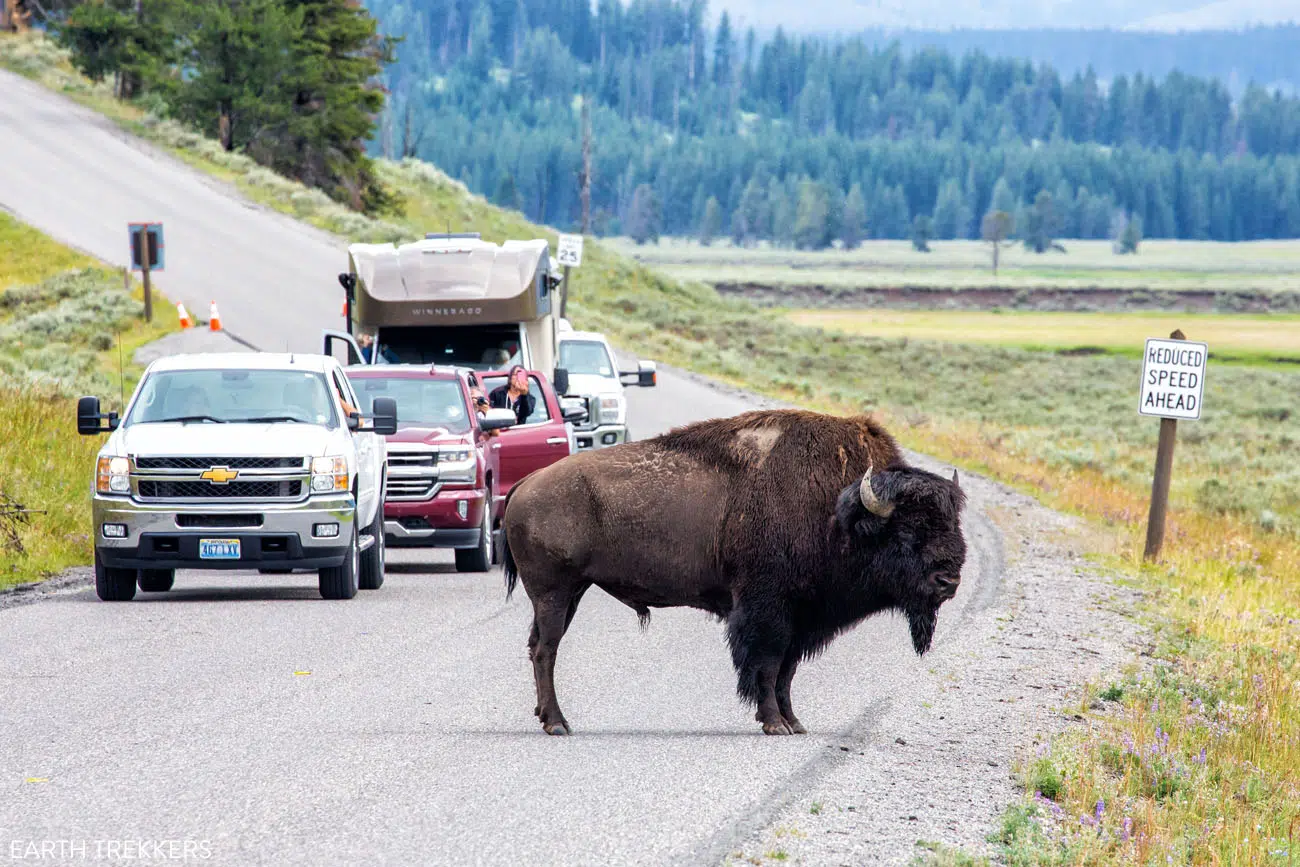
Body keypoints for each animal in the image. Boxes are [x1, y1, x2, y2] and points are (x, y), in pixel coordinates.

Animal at [496, 410, 967, 738]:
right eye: (908, 528)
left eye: (952, 522)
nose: (949, 581)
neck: (838, 511)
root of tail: (526, 484)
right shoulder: (767, 610)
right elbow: (767, 665)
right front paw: (774, 724)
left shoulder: (799, 618)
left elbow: (786, 671)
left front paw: (794, 722)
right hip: (554, 592)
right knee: (546, 649)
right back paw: (558, 723)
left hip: (570, 593)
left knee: (539, 645)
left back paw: (548, 718)